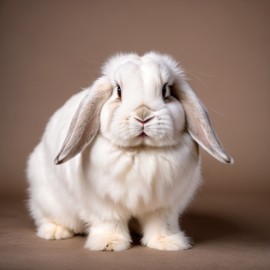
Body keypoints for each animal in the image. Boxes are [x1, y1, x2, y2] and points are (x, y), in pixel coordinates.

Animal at [28, 52, 234, 251]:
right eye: (118, 90)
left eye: (165, 90)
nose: (143, 116)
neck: (141, 152)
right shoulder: (105, 205)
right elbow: (110, 222)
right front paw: (109, 244)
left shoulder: (163, 206)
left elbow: (161, 224)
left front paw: (167, 243)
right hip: (49, 201)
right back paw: (55, 232)